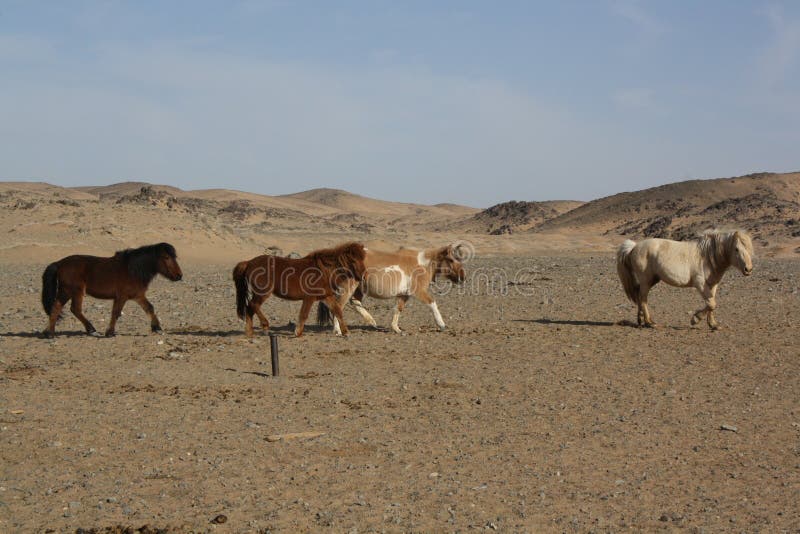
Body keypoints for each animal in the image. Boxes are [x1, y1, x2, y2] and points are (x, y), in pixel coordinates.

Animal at [233, 244, 368, 340]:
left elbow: (338, 311)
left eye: (363, 259)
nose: (363, 277)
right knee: (253, 305)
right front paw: (298, 332)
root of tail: (249, 262)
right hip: (262, 293)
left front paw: (346, 332)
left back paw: (249, 333)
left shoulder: (327, 296)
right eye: (354, 261)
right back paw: (264, 325)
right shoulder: (309, 298)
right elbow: (304, 314)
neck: (324, 270)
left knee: (249, 309)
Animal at [616, 231, 752, 330]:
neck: (707, 256)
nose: (748, 269)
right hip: (646, 280)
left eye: (749, 249)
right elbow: (711, 303)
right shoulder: (700, 284)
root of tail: (634, 247)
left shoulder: (713, 285)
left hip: (652, 280)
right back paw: (650, 323)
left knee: (639, 295)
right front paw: (695, 319)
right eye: (736, 249)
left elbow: (711, 303)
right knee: (643, 298)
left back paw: (640, 320)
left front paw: (713, 324)